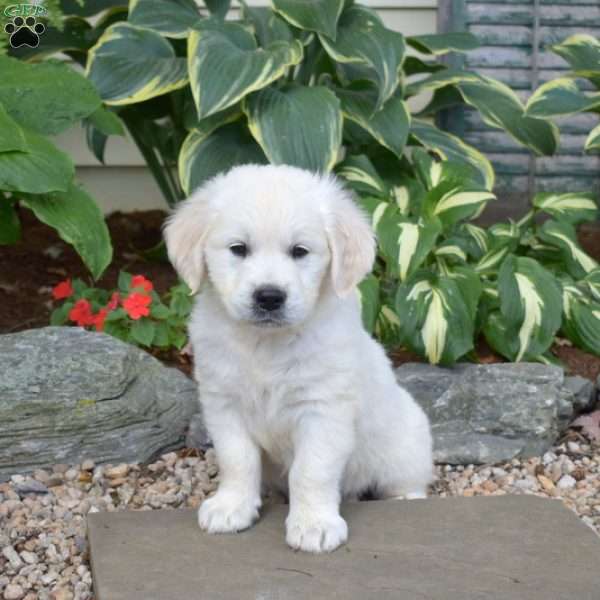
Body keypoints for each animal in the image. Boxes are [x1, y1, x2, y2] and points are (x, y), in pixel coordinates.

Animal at [164, 163, 434, 552]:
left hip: (406, 445)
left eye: (300, 251)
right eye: (238, 249)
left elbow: (311, 469)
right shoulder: (224, 403)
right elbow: (237, 458)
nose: (269, 296)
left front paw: (313, 524)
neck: (266, 343)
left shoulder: (323, 409)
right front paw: (232, 507)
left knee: (408, 482)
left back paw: (404, 499)